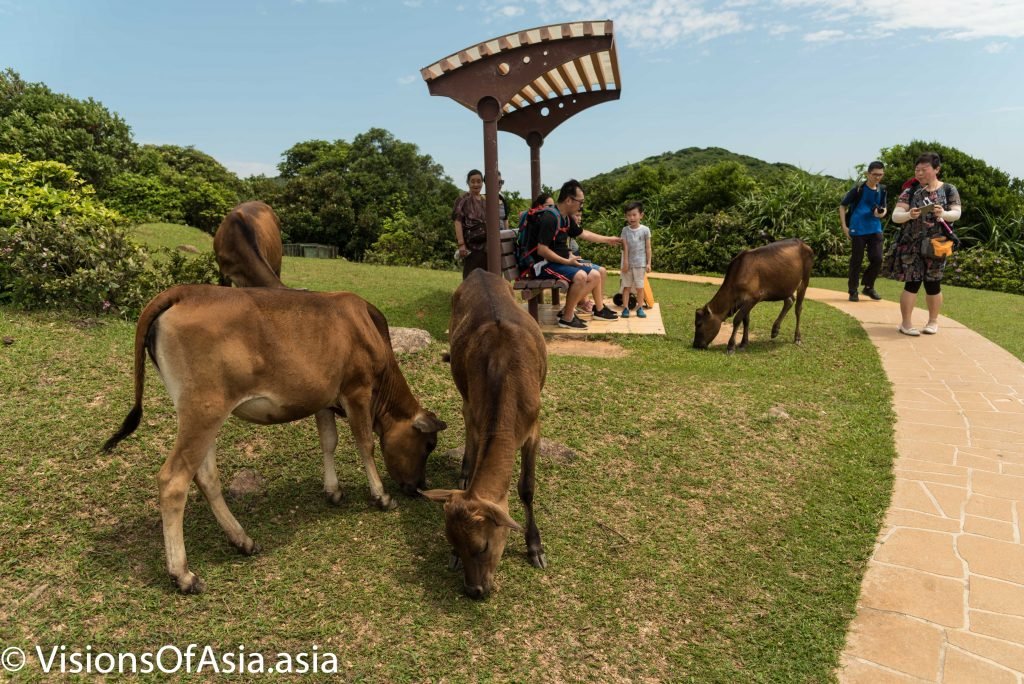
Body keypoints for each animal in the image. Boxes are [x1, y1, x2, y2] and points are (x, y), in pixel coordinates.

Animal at [102, 285, 446, 593]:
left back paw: (242, 540)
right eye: (428, 446)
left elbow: (329, 441)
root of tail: (183, 291)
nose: (420, 486)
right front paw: (381, 496)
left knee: (206, 476)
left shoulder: (323, 398)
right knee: (173, 481)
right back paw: (183, 574)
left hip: (202, 414)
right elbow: (365, 444)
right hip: (204, 409)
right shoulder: (357, 390)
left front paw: (333, 490)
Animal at [421, 270, 547, 599]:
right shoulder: (480, 418)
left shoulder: (534, 425)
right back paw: (465, 473)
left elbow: (527, 487)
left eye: (482, 546)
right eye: (453, 544)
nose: (474, 590)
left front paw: (535, 548)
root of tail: (479, 271)